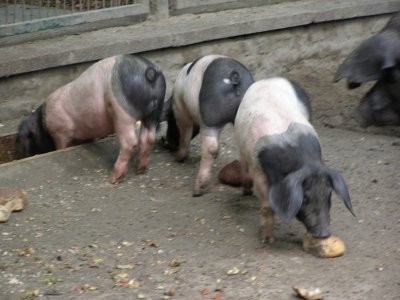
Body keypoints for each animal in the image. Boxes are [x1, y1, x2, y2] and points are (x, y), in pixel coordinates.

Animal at [15, 55, 166, 184]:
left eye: (30, 140)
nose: (24, 155)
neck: (43, 123)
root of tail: (149, 73)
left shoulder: (61, 131)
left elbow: (61, 147)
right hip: (155, 111)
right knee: (149, 137)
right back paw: (140, 170)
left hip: (123, 111)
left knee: (130, 142)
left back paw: (113, 179)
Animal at [162, 54, 253, 196]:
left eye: (170, 121)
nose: (169, 142)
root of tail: (234, 77)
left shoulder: (181, 112)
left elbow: (185, 132)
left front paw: (178, 158)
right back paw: (247, 190)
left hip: (209, 119)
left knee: (210, 148)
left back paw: (197, 190)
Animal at [236, 77, 354, 244]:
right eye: (305, 198)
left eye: (328, 195)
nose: (324, 233)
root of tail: (270, 78)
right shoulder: (258, 170)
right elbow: (267, 206)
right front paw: (267, 240)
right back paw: (246, 191)